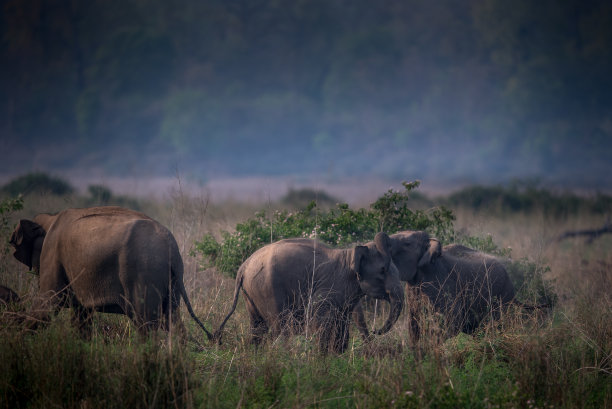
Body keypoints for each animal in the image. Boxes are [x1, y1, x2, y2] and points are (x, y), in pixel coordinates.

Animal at [8, 206, 214, 340]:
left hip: (144, 272)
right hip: (171, 280)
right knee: (172, 319)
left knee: (146, 323)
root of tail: (170, 243)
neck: (50, 218)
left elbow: (47, 305)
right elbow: (81, 314)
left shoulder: (52, 254)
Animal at [213, 231, 404, 352]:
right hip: (267, 290)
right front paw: (320, 357)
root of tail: (243, 267)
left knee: (257, 327)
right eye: (382, 270)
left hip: (251, 294)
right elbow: (321, 323)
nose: (375, 331)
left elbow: (341, 324)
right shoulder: (326, 291)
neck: (349, 254)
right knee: (281, 327)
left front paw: (336, 356)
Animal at [354, 230, 520, 338]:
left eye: (407, 243)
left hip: (503, 296)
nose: (374, 331)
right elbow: (414, 325)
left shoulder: (442, 281)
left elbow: (452, 322)